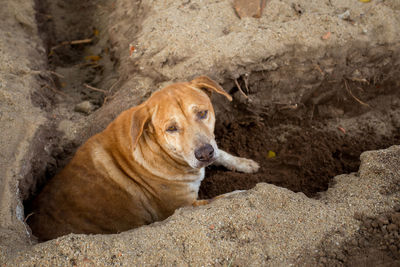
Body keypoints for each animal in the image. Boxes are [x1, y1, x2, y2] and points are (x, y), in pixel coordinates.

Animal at [28, 76, 260, 242]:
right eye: (171, 128)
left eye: (203, 113)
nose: (204, 153)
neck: (158, 149)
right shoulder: (184, 207)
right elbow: (225, 197)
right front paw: (246, 190)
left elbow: (222, 152)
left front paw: (244, 163)